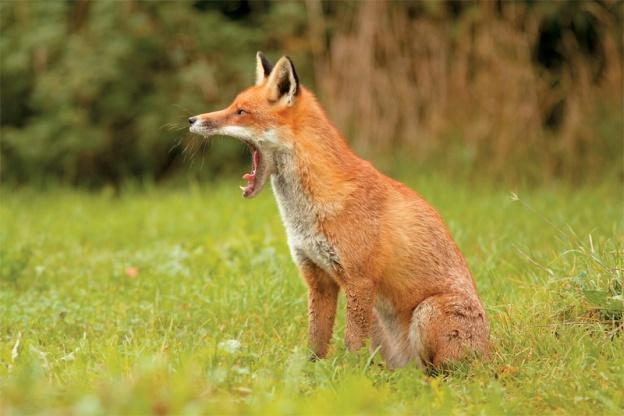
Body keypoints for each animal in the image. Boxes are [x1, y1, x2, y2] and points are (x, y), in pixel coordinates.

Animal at [188, 52, 490, 370]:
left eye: (241, 112)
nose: (192, 119)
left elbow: (351, 345)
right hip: (380, 325)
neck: (305, 213)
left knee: (442, 372)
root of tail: (490, 354)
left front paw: (348, 376)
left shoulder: (360, 280)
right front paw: (309, 373)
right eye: (233, 106)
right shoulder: (318, 279)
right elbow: (316, 339)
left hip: (427, 313)